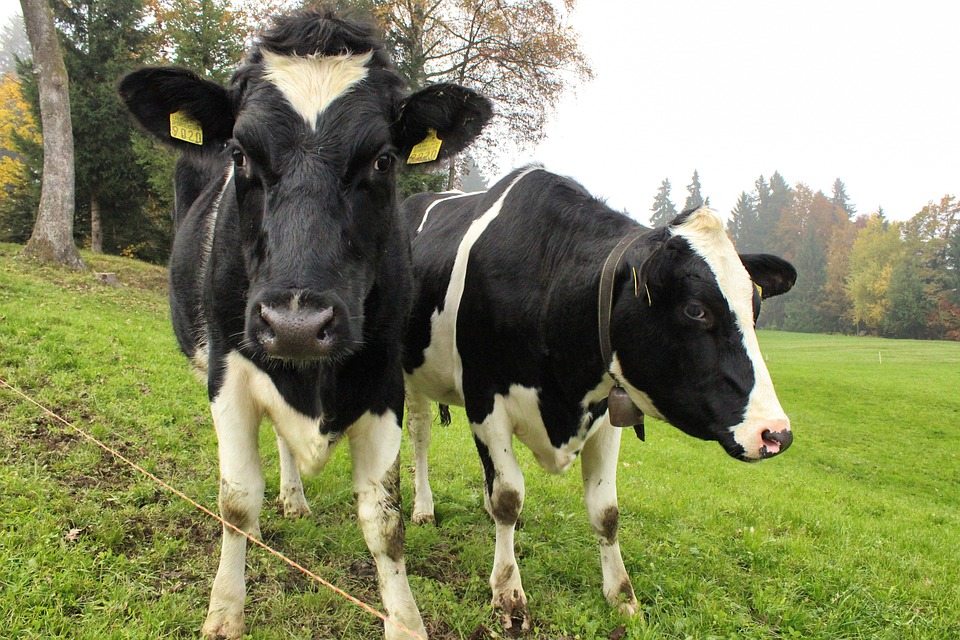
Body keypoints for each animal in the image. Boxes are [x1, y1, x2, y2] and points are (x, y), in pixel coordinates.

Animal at [119, 10, 492, 640]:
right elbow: (236, 499)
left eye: (383, 159)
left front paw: (405, 620)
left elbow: (384, 519)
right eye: (240, 153)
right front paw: (224, 611)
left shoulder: (383, 379)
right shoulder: (228, 370)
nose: (296, 324)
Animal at [398, 168, 796, 632]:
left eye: (756, 309)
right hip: (409, 374)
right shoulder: (486, 401)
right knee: (421, 436)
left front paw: (621, 595)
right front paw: (508, 593)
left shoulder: (607, 414)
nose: (775, 434)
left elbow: (606, 512)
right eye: (696, 310)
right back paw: (423, 507)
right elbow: (509, 496)